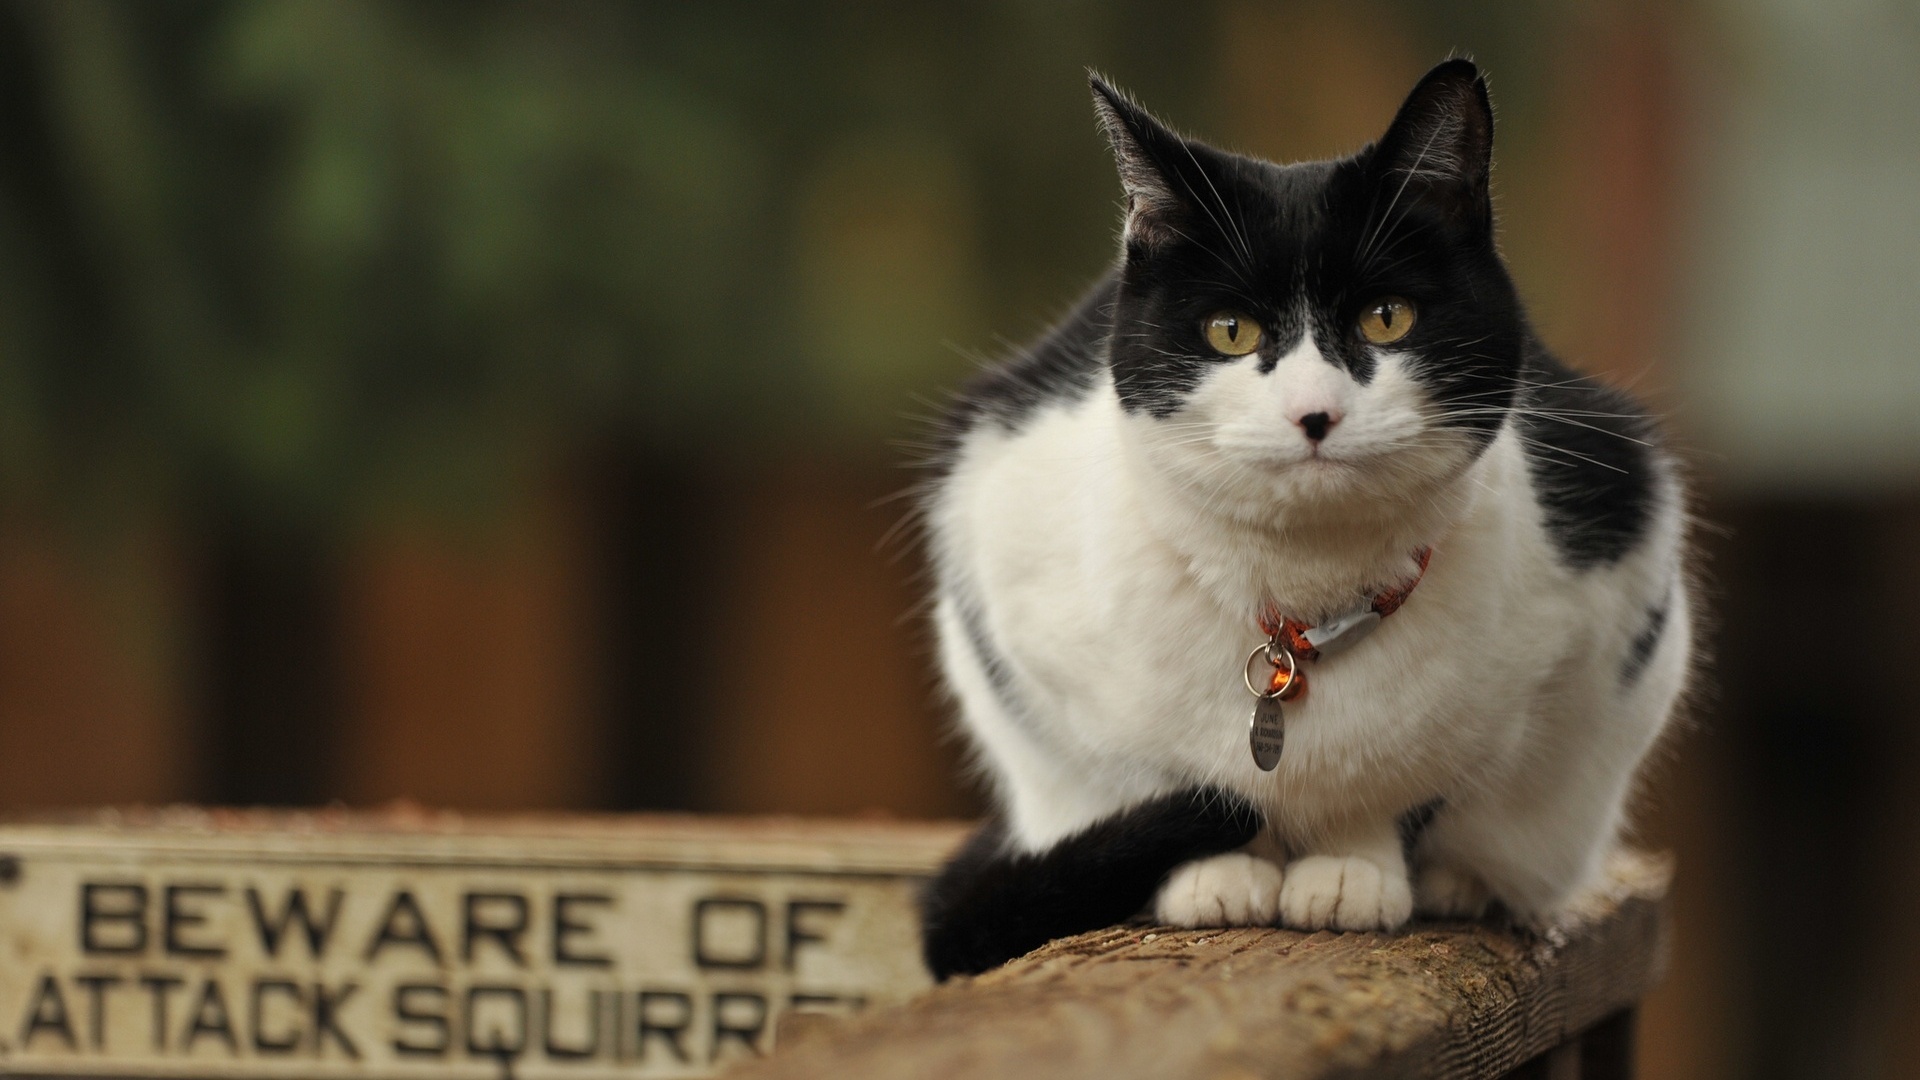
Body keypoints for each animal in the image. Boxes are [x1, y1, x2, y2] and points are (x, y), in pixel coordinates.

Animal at [921, 61, 1689, 983]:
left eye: (1386, 317)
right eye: (1229, 330)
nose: (1314, 413)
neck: (1302, 599)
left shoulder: (1595, 602)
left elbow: (1407, 788)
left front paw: (1351, 871)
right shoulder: (1019, 608)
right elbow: (1147, 772)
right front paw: (1215, 872)